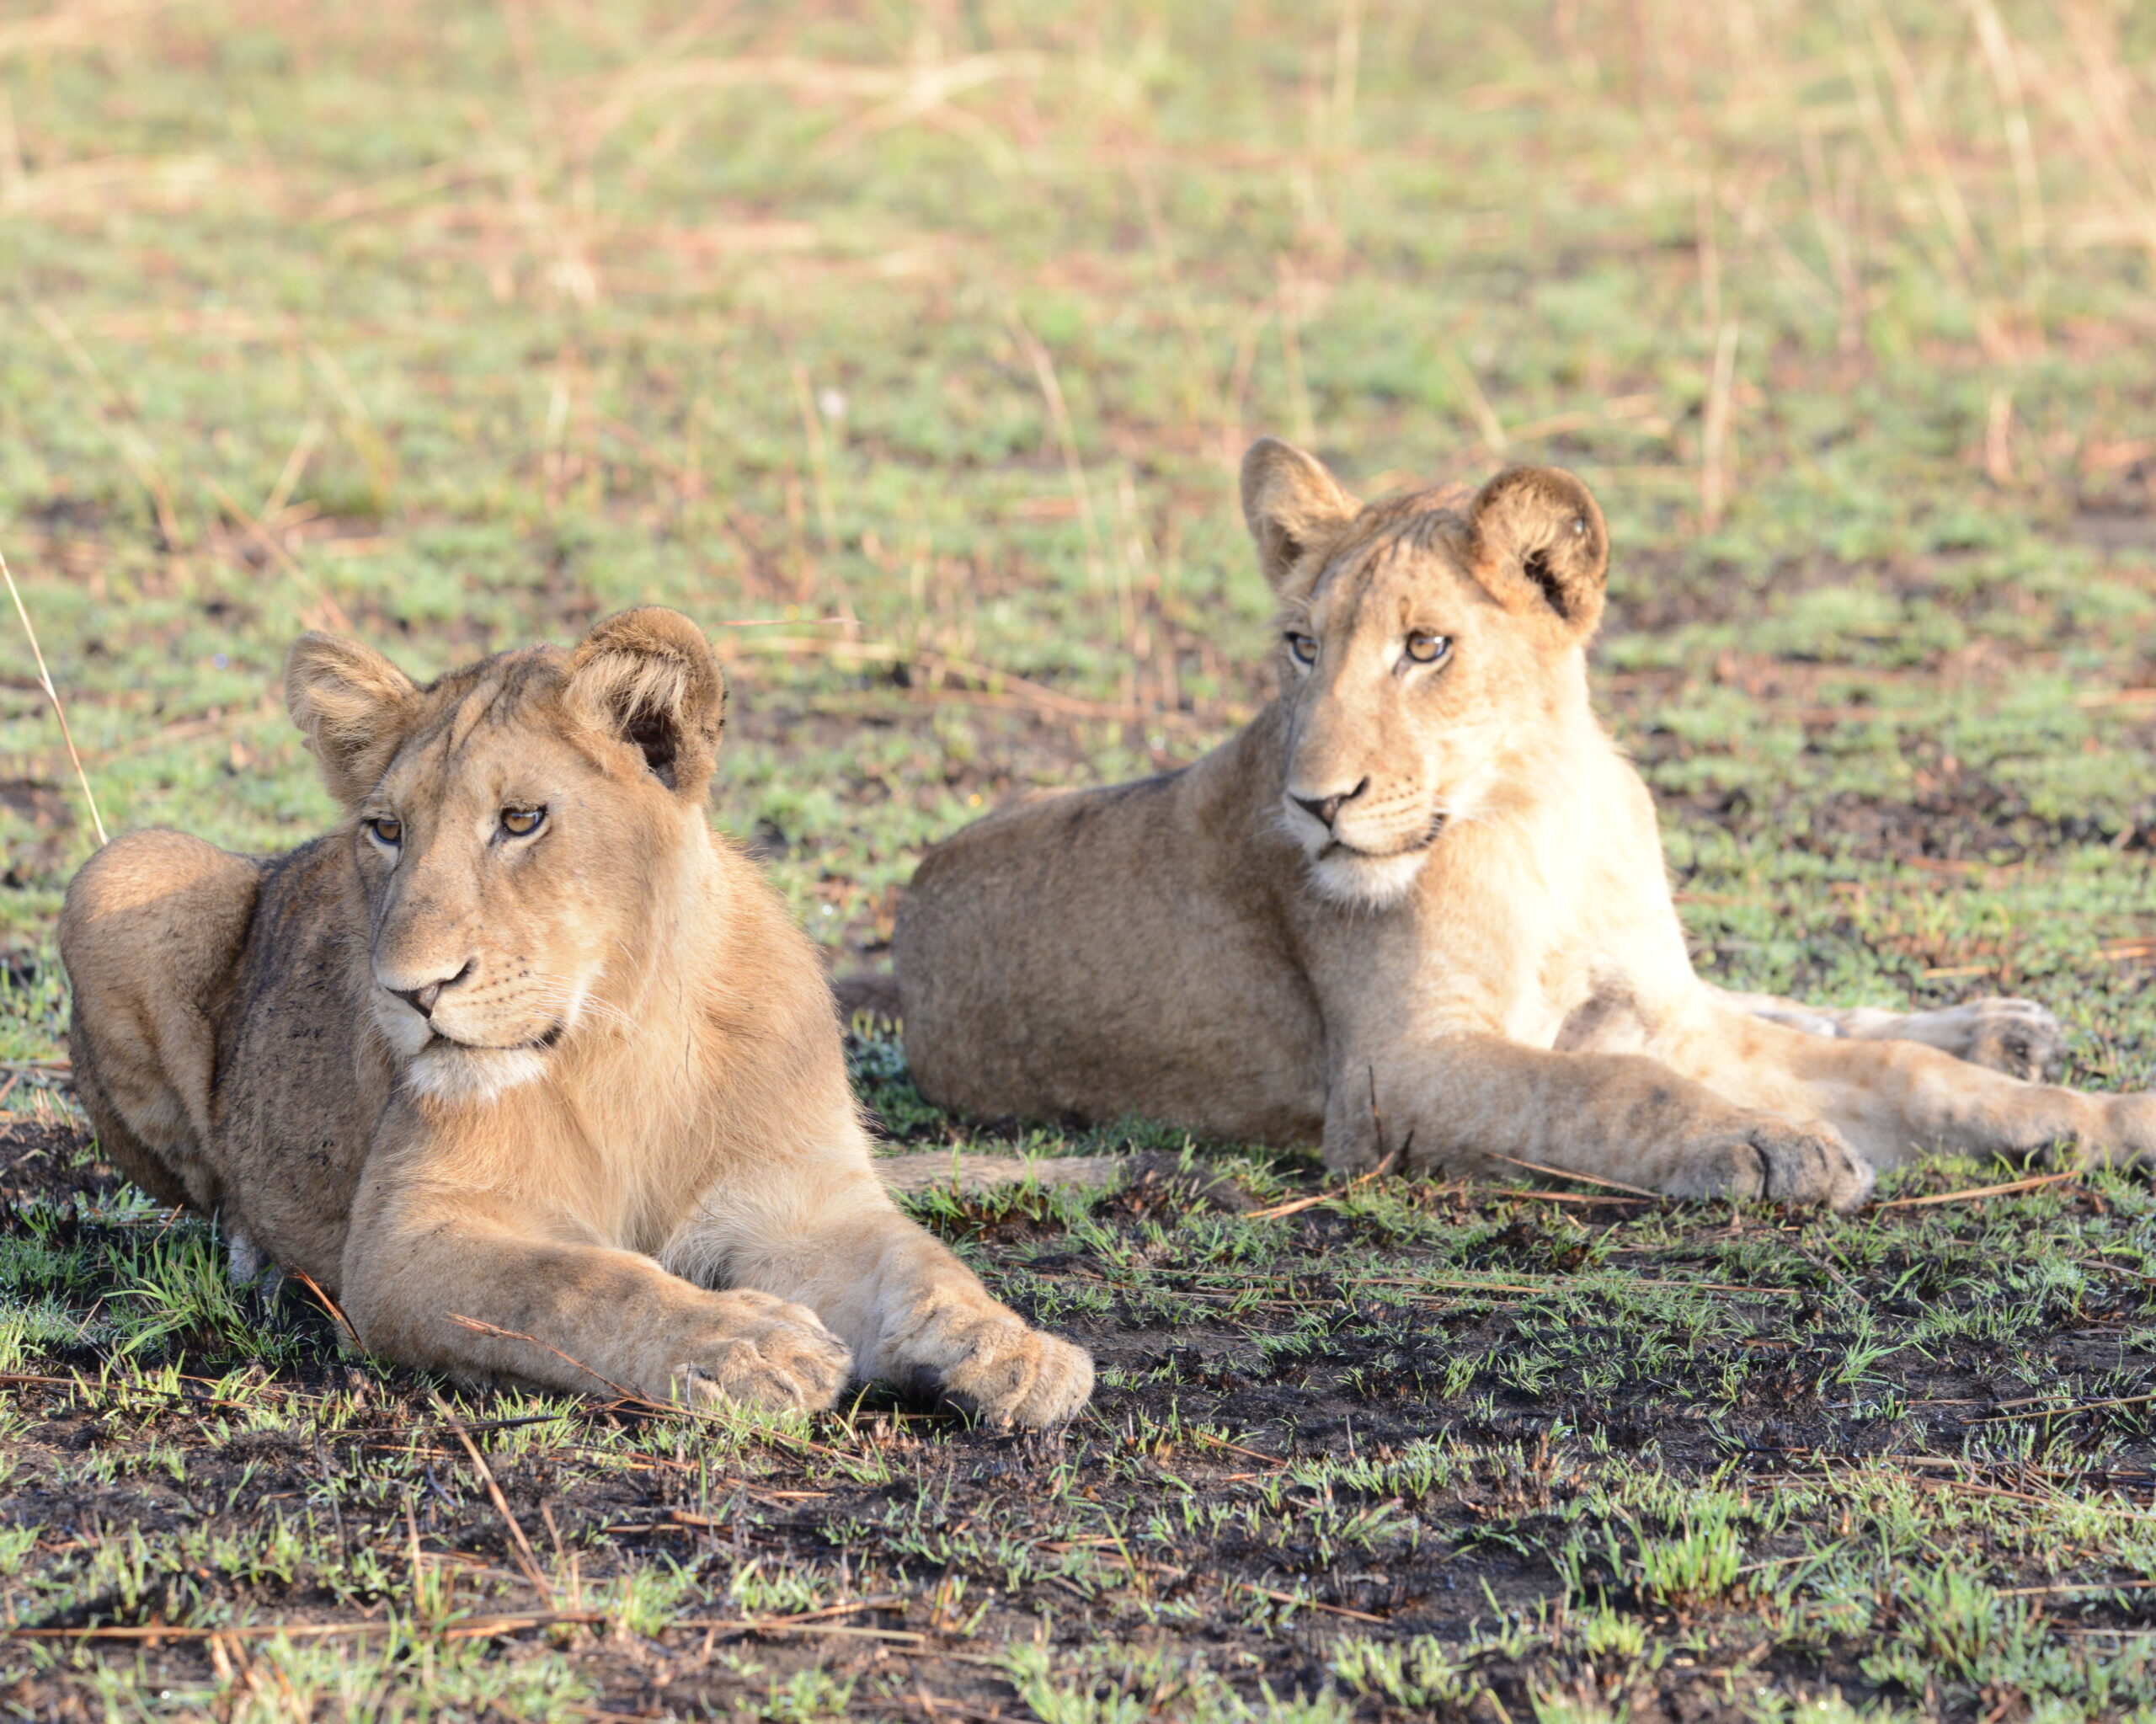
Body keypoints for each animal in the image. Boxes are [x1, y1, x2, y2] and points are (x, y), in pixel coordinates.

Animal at [62, 607, 1095, 1431]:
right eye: (386, 830)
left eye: (522, 820)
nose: (408, 991)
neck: (620, 1037)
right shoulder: (403, 1242)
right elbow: (576, 1283)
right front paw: (748, 1344)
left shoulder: (799, 1201)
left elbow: (922, 1264)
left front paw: (1015, 1350)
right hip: (119, 871)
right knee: (217, 1193)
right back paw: (262, 1261)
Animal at [892, 437, 2156, 1206]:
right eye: (1300, 645)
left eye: (1426, 646)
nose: (1316, 804)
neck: (1544, 815)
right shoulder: (1394, 1075)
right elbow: (1610, 1087)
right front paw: (1774, 1143)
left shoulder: (1661, 1015)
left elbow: (1904, 1074)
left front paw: (2103, 1116)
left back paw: (2005, 1026)